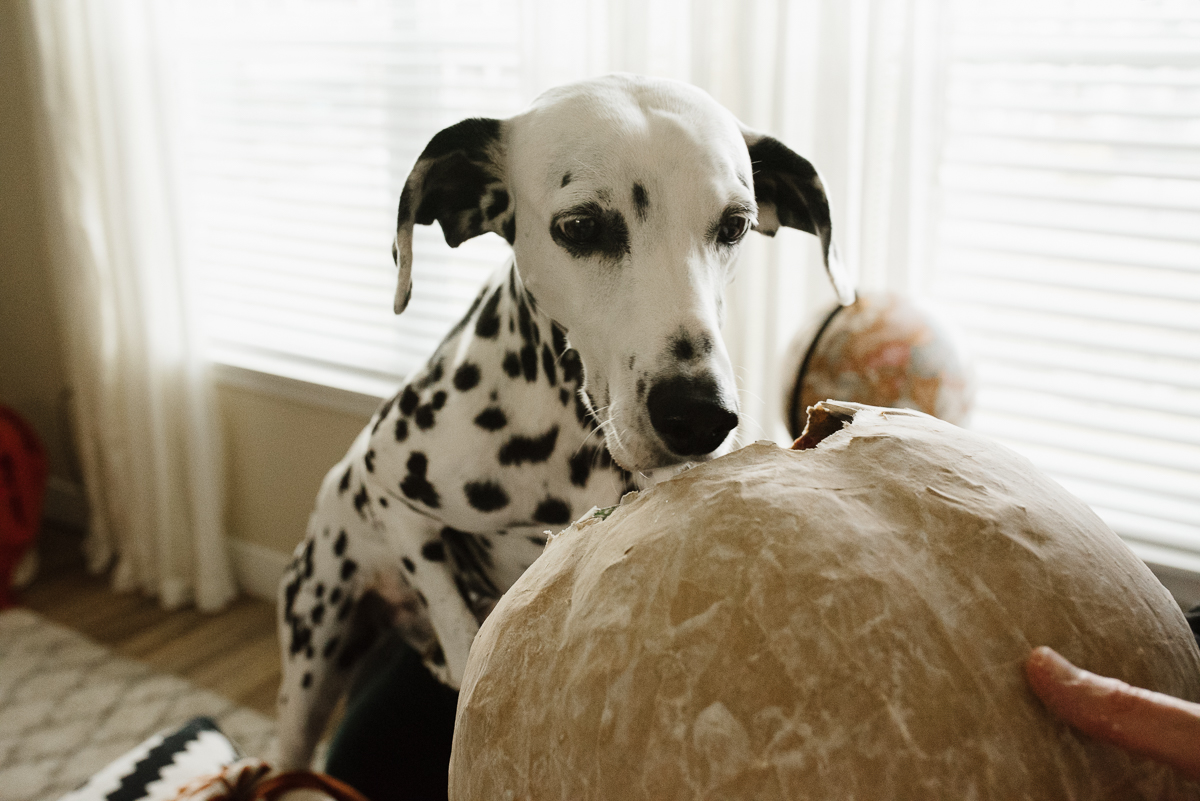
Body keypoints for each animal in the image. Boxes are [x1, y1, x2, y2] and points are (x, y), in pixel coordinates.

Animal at [274, 73, 849, 767]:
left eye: (734, 225)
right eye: (581, 226)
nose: (699, 414)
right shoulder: (386, 477)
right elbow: (454, 615)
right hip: (313, 649)